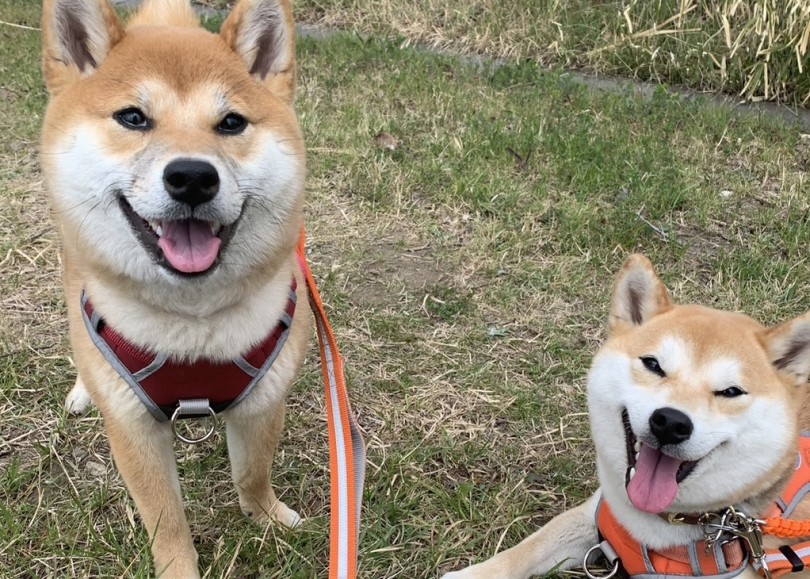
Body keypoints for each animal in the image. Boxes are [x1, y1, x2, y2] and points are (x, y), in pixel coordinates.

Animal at [40, 1, 312, 576]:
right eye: (132, 118)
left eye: (231, 123)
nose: (192, 177)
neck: (193, 323)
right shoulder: (132, 428)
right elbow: (165, 519)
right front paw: (178, 567)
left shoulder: (264, 399)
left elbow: (252, 472)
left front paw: (267, 518)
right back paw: (82, 387)